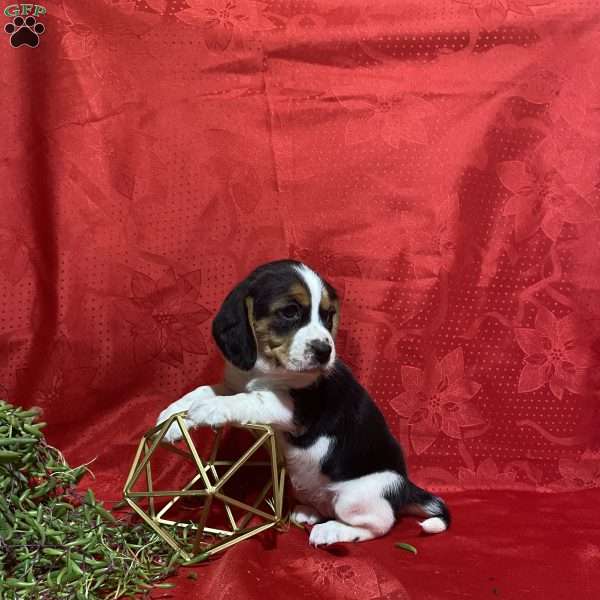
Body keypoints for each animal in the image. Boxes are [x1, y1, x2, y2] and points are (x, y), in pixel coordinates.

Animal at [157, 260, 448, 548]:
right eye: (290, 312)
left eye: (328, 315)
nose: (324, 351)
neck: (265, 368)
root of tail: (405, 488)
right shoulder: (232, 383)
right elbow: (202, 391)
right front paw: (171, 420)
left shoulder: (290, 410)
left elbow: (248, 399)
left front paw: (212, 410)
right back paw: (309, 512)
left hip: (357, 496)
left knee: (379, 525)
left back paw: (331, 532)